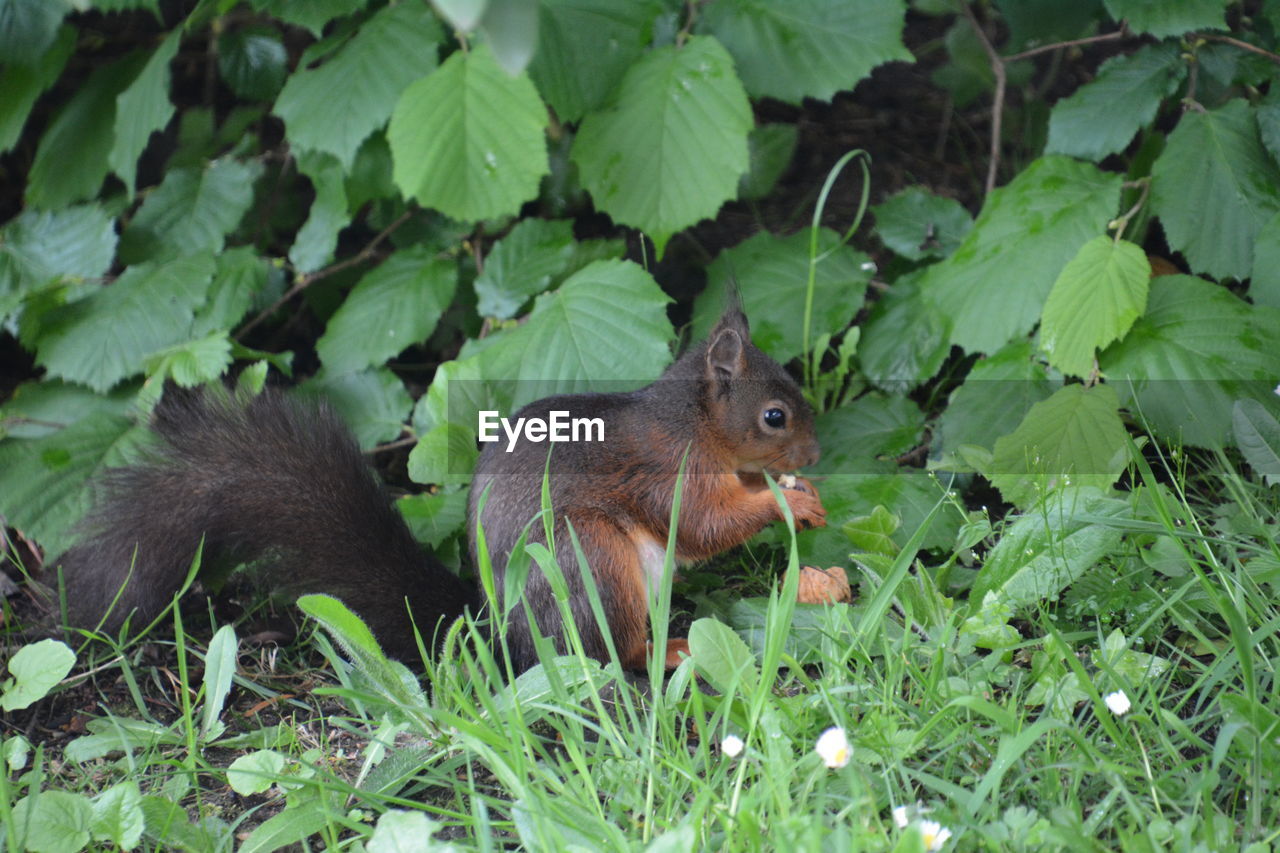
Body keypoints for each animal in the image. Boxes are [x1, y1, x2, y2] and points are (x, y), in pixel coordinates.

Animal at [55, 306, 824, 671]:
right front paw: (786, 499)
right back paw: (665, 652)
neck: (692, 419)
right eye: (774, 415)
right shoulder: (668, 466)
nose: (817, 451)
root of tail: (497, 627)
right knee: (610, 655)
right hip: (589, 560)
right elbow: (699, 525)